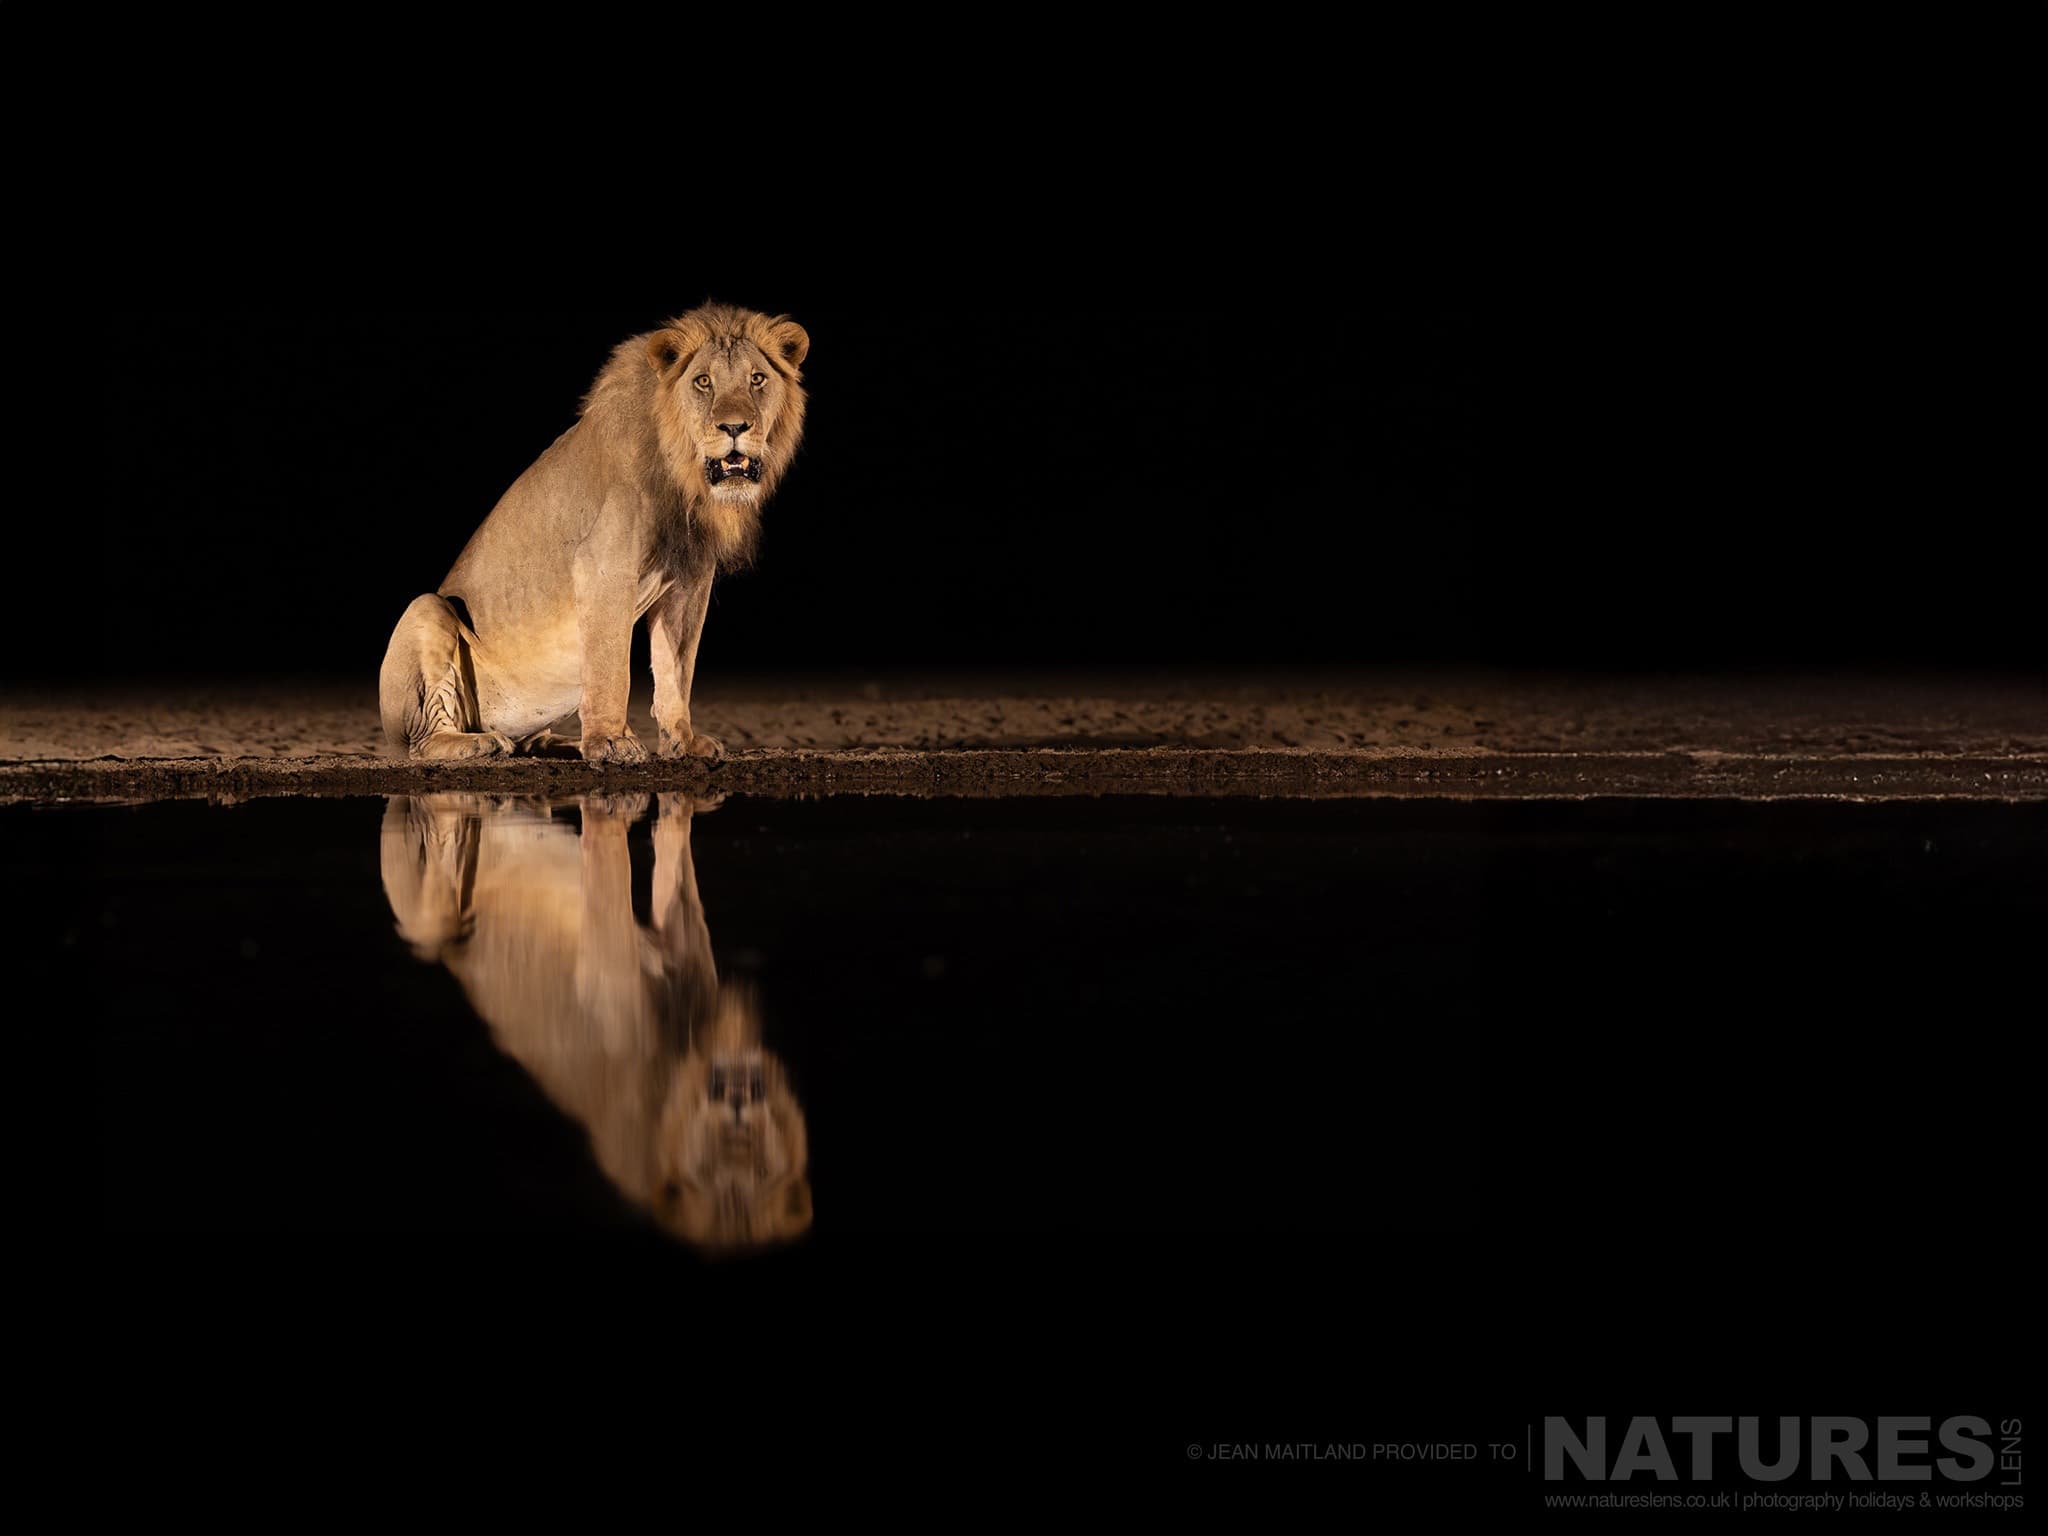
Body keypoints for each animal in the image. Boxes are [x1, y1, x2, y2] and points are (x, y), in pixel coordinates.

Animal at [378, 304, 809, 763]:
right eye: (703, 381)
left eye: (757, 379)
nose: (734, 428)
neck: (684, 474)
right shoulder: (604, 568)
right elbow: (611, 667)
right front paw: (611, 741)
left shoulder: (689, 583)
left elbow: (677, 670)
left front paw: (684, 743)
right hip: (428, 610)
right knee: (423, 741)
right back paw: (480, 743)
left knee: (531, 739)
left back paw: (559, 744)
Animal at [379, 790, 813, 1251]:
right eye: (709, 1169)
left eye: (762, 1172)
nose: (735, 1097)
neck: (688, 1062)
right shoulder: (606, 973)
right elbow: (612, 865)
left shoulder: (684, 959)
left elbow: (676, 869)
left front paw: (678, 803)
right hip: (430, 931)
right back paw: (464, 811)